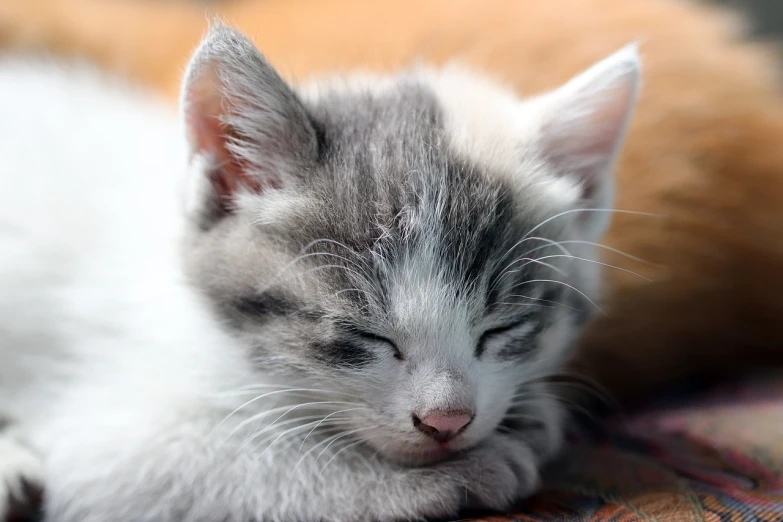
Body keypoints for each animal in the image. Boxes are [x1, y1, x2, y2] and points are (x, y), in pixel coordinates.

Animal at [0, 23, 640, 520]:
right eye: (363, 333)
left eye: (504, 327)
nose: (446, 421)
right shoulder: (110, 437)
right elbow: (245, 464)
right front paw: (452, 475)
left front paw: (529, 414)